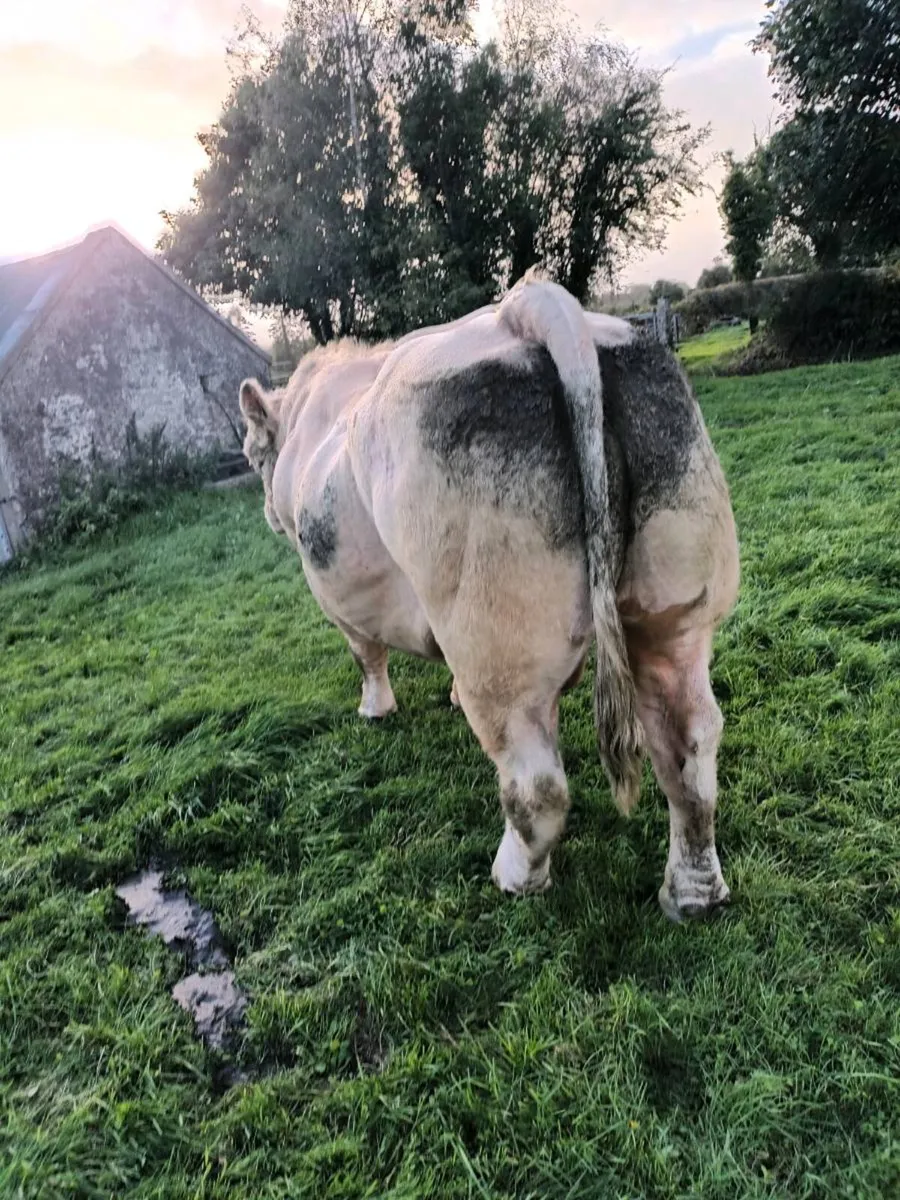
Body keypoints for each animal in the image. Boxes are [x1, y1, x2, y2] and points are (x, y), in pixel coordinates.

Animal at [239, 274, 740, 921]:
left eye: (253, 454)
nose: (267, 512)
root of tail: (525, 309)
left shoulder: (339, 604)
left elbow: (366, 656)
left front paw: (375, 709)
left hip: (496, 638)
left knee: (537, 786)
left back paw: (514, 877)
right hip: (675, 605)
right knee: (690, 743)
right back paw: (693, 893)